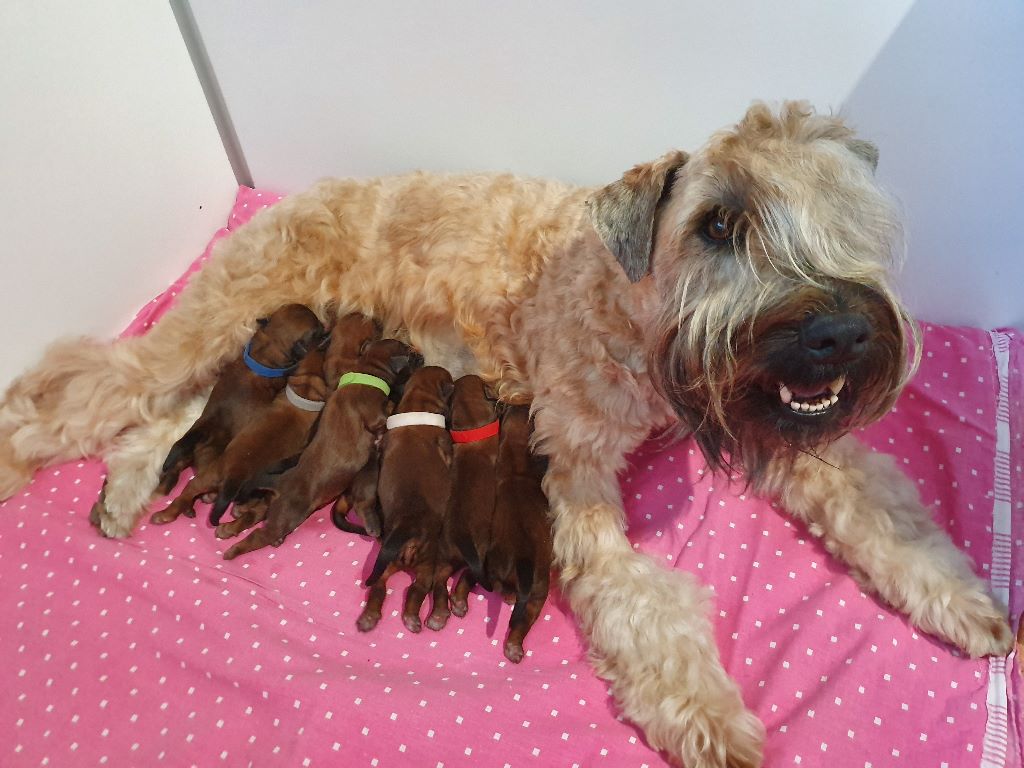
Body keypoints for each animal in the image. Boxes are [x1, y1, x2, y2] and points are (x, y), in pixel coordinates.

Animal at [148, 303, 321, 528]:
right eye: (317, 330)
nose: (325, 326)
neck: (265, 352)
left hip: (196, 449)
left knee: (183, 475)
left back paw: (168, 508)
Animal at [222, 335, 417, 561]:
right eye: (408, 352)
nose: (419, 356)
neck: (367, 370)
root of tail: (280, 482)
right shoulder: (374, 414)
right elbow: (386, 412)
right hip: (287, 515)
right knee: (259, 535)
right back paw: (233, 551)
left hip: (272, 507)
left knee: (255, 515)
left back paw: (228, 528)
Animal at [360, 364, 456, 630]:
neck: (417, 401)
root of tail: (405, 531)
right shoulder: (445, 444)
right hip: (426, 564)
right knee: (417, 590)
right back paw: (412, 618)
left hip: (384, 564)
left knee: (378, 587)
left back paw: (368, 618)